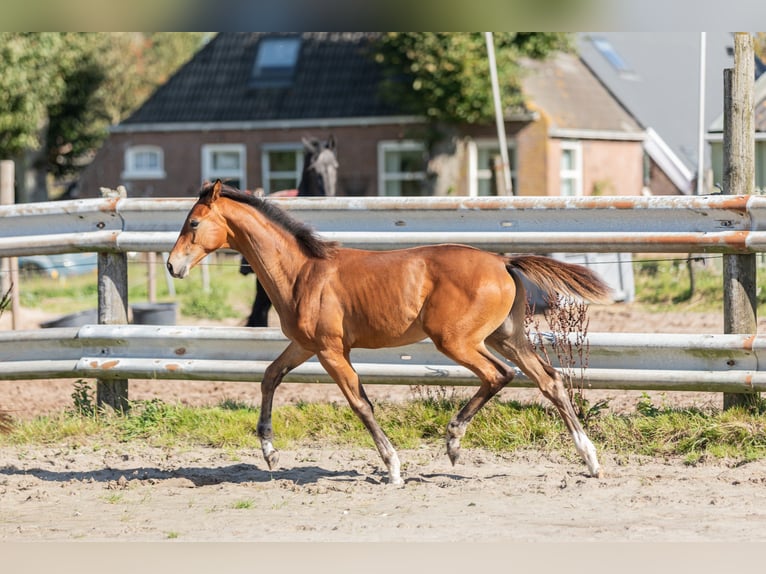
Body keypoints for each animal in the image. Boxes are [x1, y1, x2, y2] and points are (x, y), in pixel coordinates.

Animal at [168, 180, 612, 486]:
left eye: (193, 222)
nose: (173, 266)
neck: (302, 274)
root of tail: (503, 262)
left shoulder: (331, 351)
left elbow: (360, 404)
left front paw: (394, 467)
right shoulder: (303, 346)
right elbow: (269, 377)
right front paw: (270, 453)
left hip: (458, 341)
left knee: (499, 375)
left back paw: (453, 442)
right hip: (506, 337)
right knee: (549, 380)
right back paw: (589, 459)